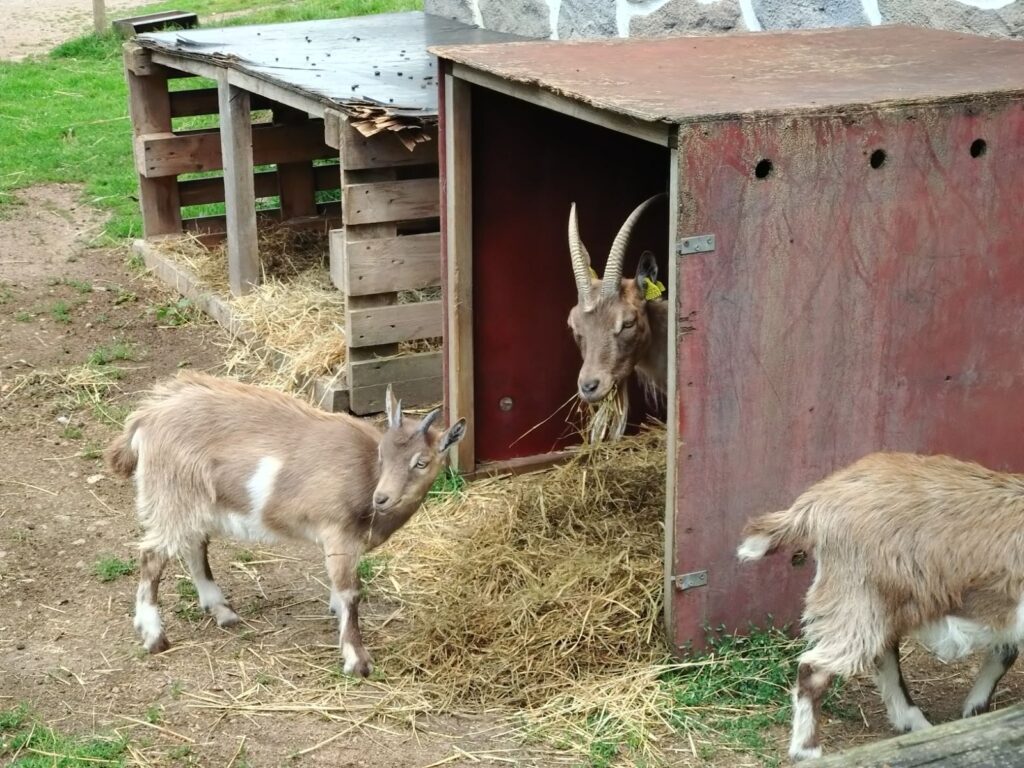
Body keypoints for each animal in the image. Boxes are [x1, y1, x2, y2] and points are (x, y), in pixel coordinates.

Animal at [102, 374, 464, 679]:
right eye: (381, 454)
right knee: (153, 555)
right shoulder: (339, 531)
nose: (382, 498)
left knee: (194, 545)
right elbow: (351, 591)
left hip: (195, 500)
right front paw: (357, 660)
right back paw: (154, 635)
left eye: (421, 462)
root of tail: (146, 417)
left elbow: (340, 587)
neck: (367, 478)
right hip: (171, 492)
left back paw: (221, 610)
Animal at [741, 454, 1019, 761]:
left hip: (878, 602)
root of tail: (817, 502)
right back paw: (807, 750)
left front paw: (974, 709)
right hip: (856, 593)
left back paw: (914, 723)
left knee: (882, 653)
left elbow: (1005, 652)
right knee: (816, 668)